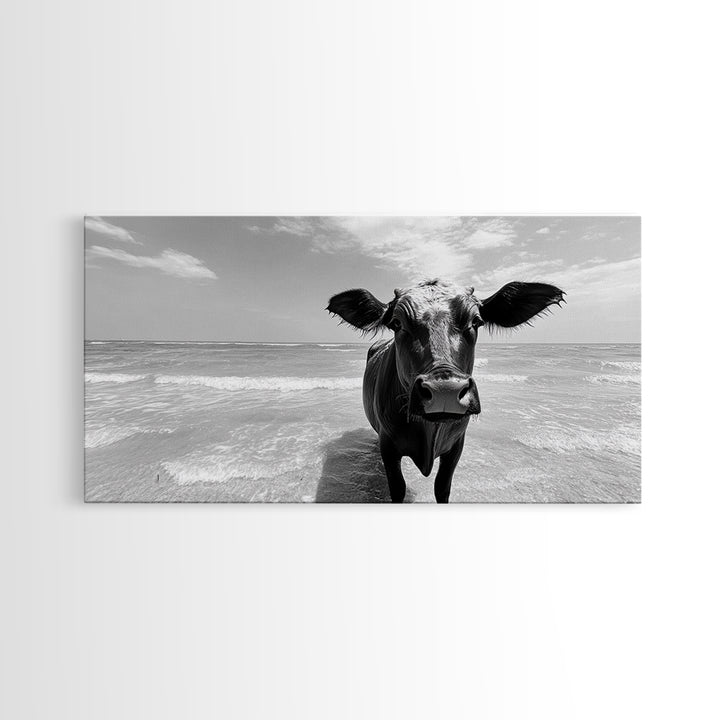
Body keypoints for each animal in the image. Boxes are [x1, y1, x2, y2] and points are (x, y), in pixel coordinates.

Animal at [327, 279, 565, 502]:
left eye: (475, 321)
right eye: (396, 323)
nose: (445, 390)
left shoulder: (456, 446)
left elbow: (442, 487)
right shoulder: (389, 446)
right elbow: (398, 489)